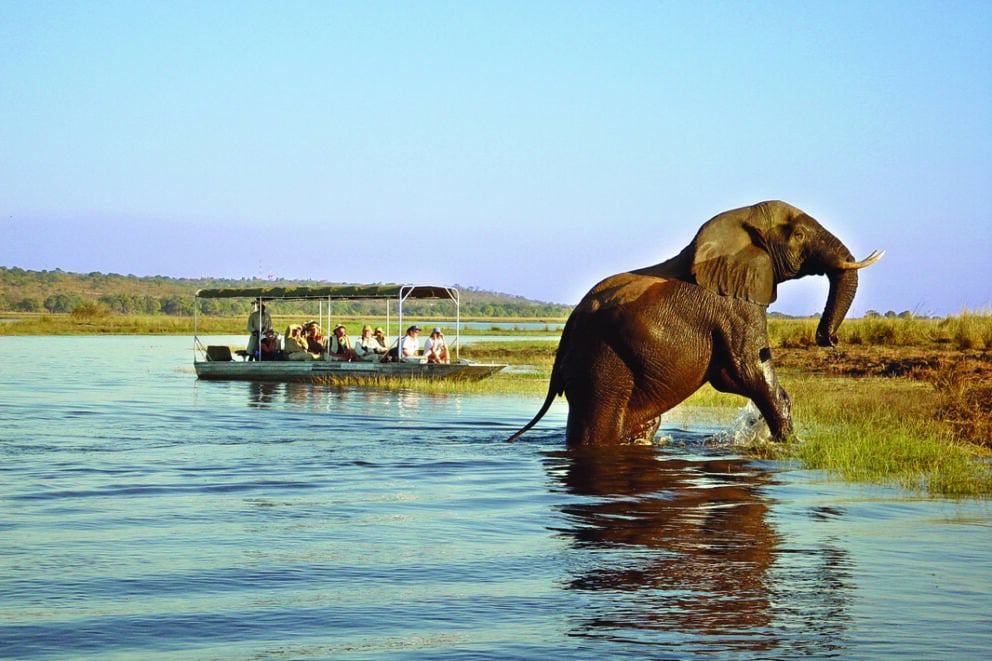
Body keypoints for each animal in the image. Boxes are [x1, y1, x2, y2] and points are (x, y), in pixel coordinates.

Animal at [509, 200, 883, 445]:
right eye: (800, 235)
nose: (828, 339)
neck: (740, 221)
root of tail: (564, 339)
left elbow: (730, 376)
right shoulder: (734, 306)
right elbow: (748, 371)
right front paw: (788, 446)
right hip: (601, 366)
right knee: (599, 428)